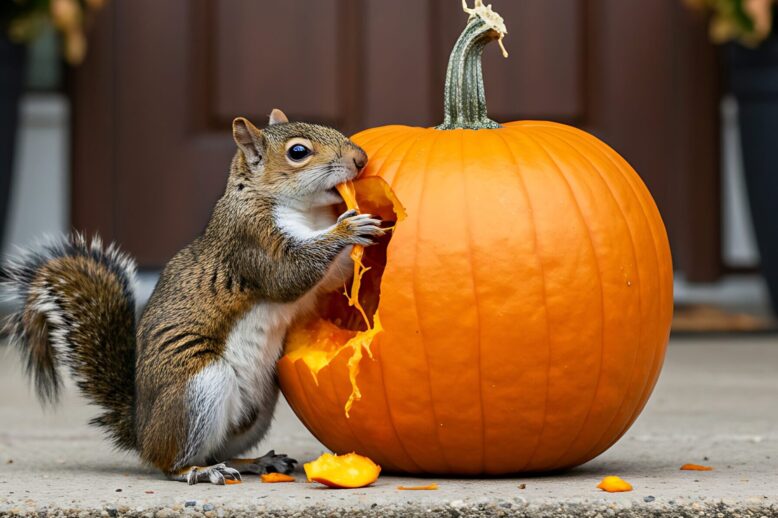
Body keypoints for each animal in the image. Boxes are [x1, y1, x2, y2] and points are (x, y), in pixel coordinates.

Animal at [2, 109, 384, 485]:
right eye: (299, 152)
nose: (360, 159)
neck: (305, 211)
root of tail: (142, 433)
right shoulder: (252, 242)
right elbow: (289, 273)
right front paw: (347, 229)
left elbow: (333, 277)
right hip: (199, 388)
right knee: (174, 462)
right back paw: (199, 471)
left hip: (258, 408)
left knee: (218, 450)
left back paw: (254, 462)